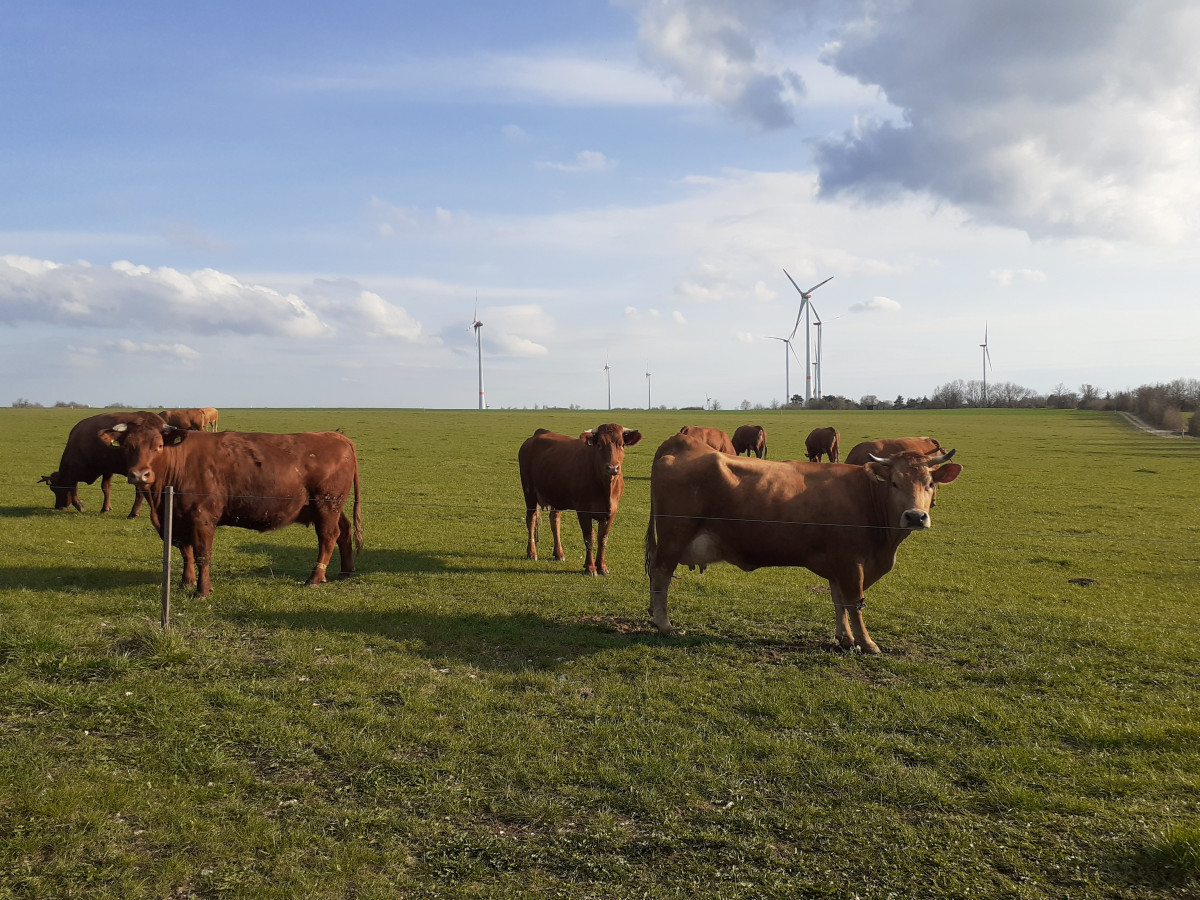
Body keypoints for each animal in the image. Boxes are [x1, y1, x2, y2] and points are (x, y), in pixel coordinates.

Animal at [99, 420, 363, 596]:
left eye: (158, 446)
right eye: (127, 446)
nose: (139, 474)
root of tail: (337, 436)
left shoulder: (202, 518)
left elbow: (202, 555)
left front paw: (202, 590)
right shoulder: (177, 520)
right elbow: (186, 553)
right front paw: (185, 583)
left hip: (327, 504)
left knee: (328, 537)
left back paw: (315, 577)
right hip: (331, 507)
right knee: (344, 531)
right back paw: (345, 572)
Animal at [519, 424, 642, 576]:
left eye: (622, 444)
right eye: (599, 444)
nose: (612, 468)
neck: (605, 488)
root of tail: (537, 434)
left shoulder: (612, 512)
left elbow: (603, 538)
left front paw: (602, 567)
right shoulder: (583, 511)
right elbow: (589, 538)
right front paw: (590, 567)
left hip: (555, 496)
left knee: (555, 520)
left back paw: (559, 553)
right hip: (529, 491)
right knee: (531, 519)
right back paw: (532, 553)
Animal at [644, 432, 961, 653]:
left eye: (930, 484)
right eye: (894, 483)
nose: (915, 516)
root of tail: (679, 443)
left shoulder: (839, 564)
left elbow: (839, 601)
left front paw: (845, 639)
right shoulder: (852, 562)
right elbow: (855, 602)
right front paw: (867, 643)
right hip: (674, 537)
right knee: (660, 575)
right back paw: (665, 625)